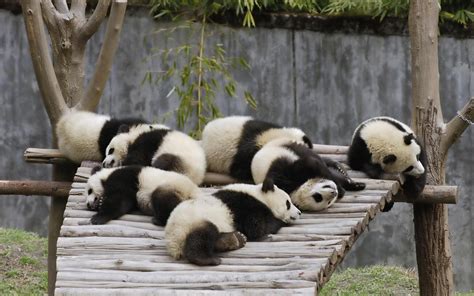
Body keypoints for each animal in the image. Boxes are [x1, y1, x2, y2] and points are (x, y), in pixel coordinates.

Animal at [165, 180, 302, 266]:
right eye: (288, 203)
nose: (299, 213)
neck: (259, 195)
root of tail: (173, 243)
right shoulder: (246, 206)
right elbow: (256, 227)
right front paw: (279, 221)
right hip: (191, 222)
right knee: (203, 235)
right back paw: (208, 259)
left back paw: (236, 239)